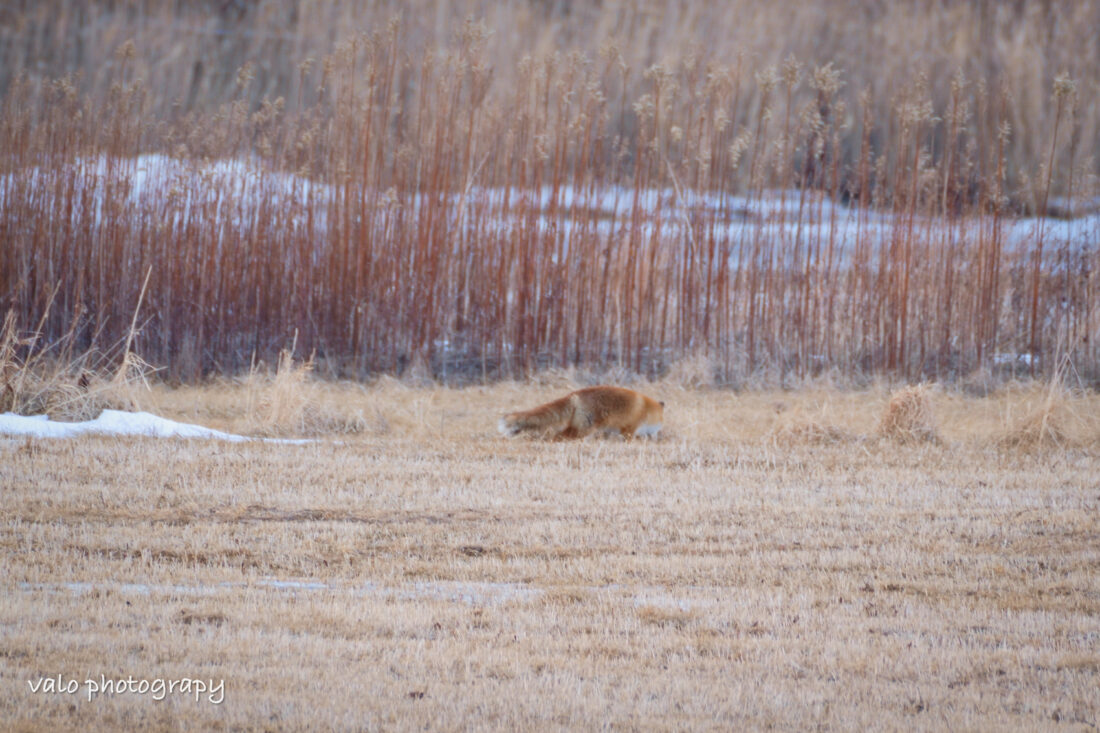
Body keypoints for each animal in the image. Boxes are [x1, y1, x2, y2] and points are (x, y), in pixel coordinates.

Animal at [499, 385, 660, 435]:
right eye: (660, 423)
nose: (659, 433)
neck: (645, 407)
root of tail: (574, 394)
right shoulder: (630, 426)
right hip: (586, 427)